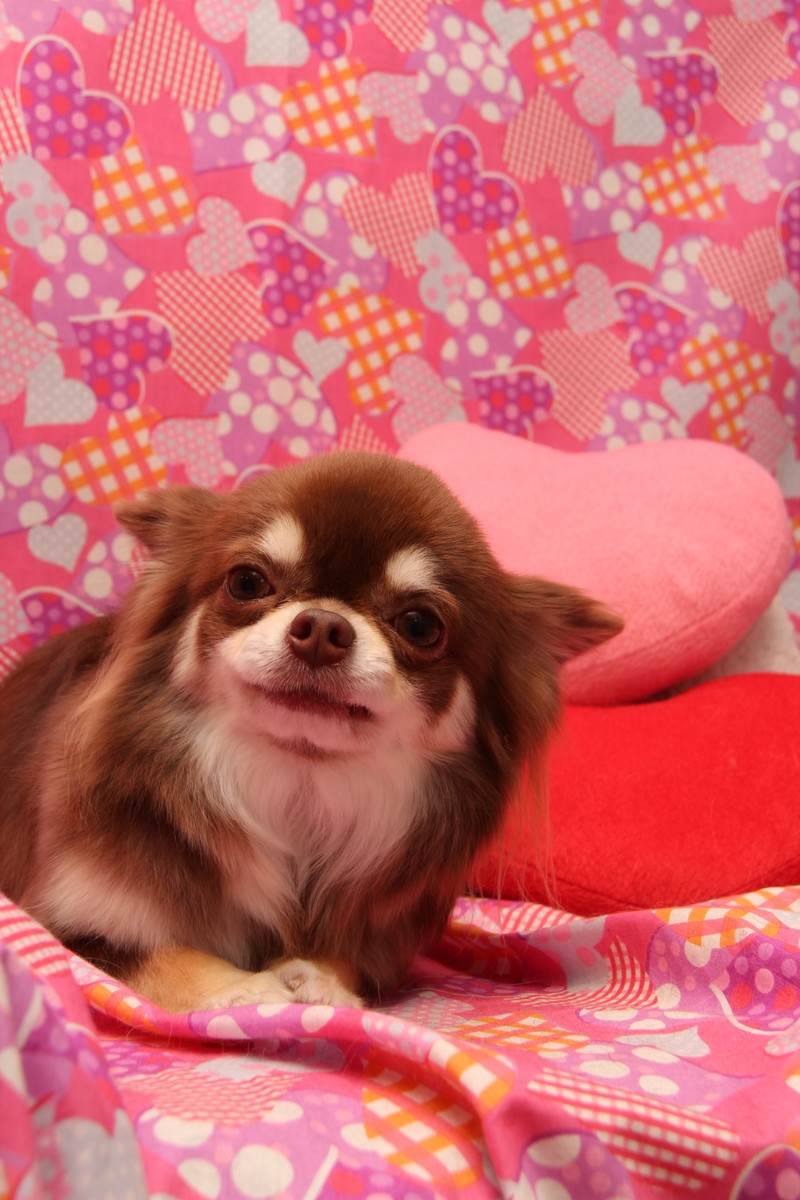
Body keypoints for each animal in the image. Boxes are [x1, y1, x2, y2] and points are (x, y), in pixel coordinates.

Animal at [0, 452, 620, 1012]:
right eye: (247, 582)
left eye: (420, 625)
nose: (322, 626)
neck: (300, 783)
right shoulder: (68, 923)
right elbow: (160, 955)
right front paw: (245, 988)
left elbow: (342, 958)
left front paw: (322, 977)